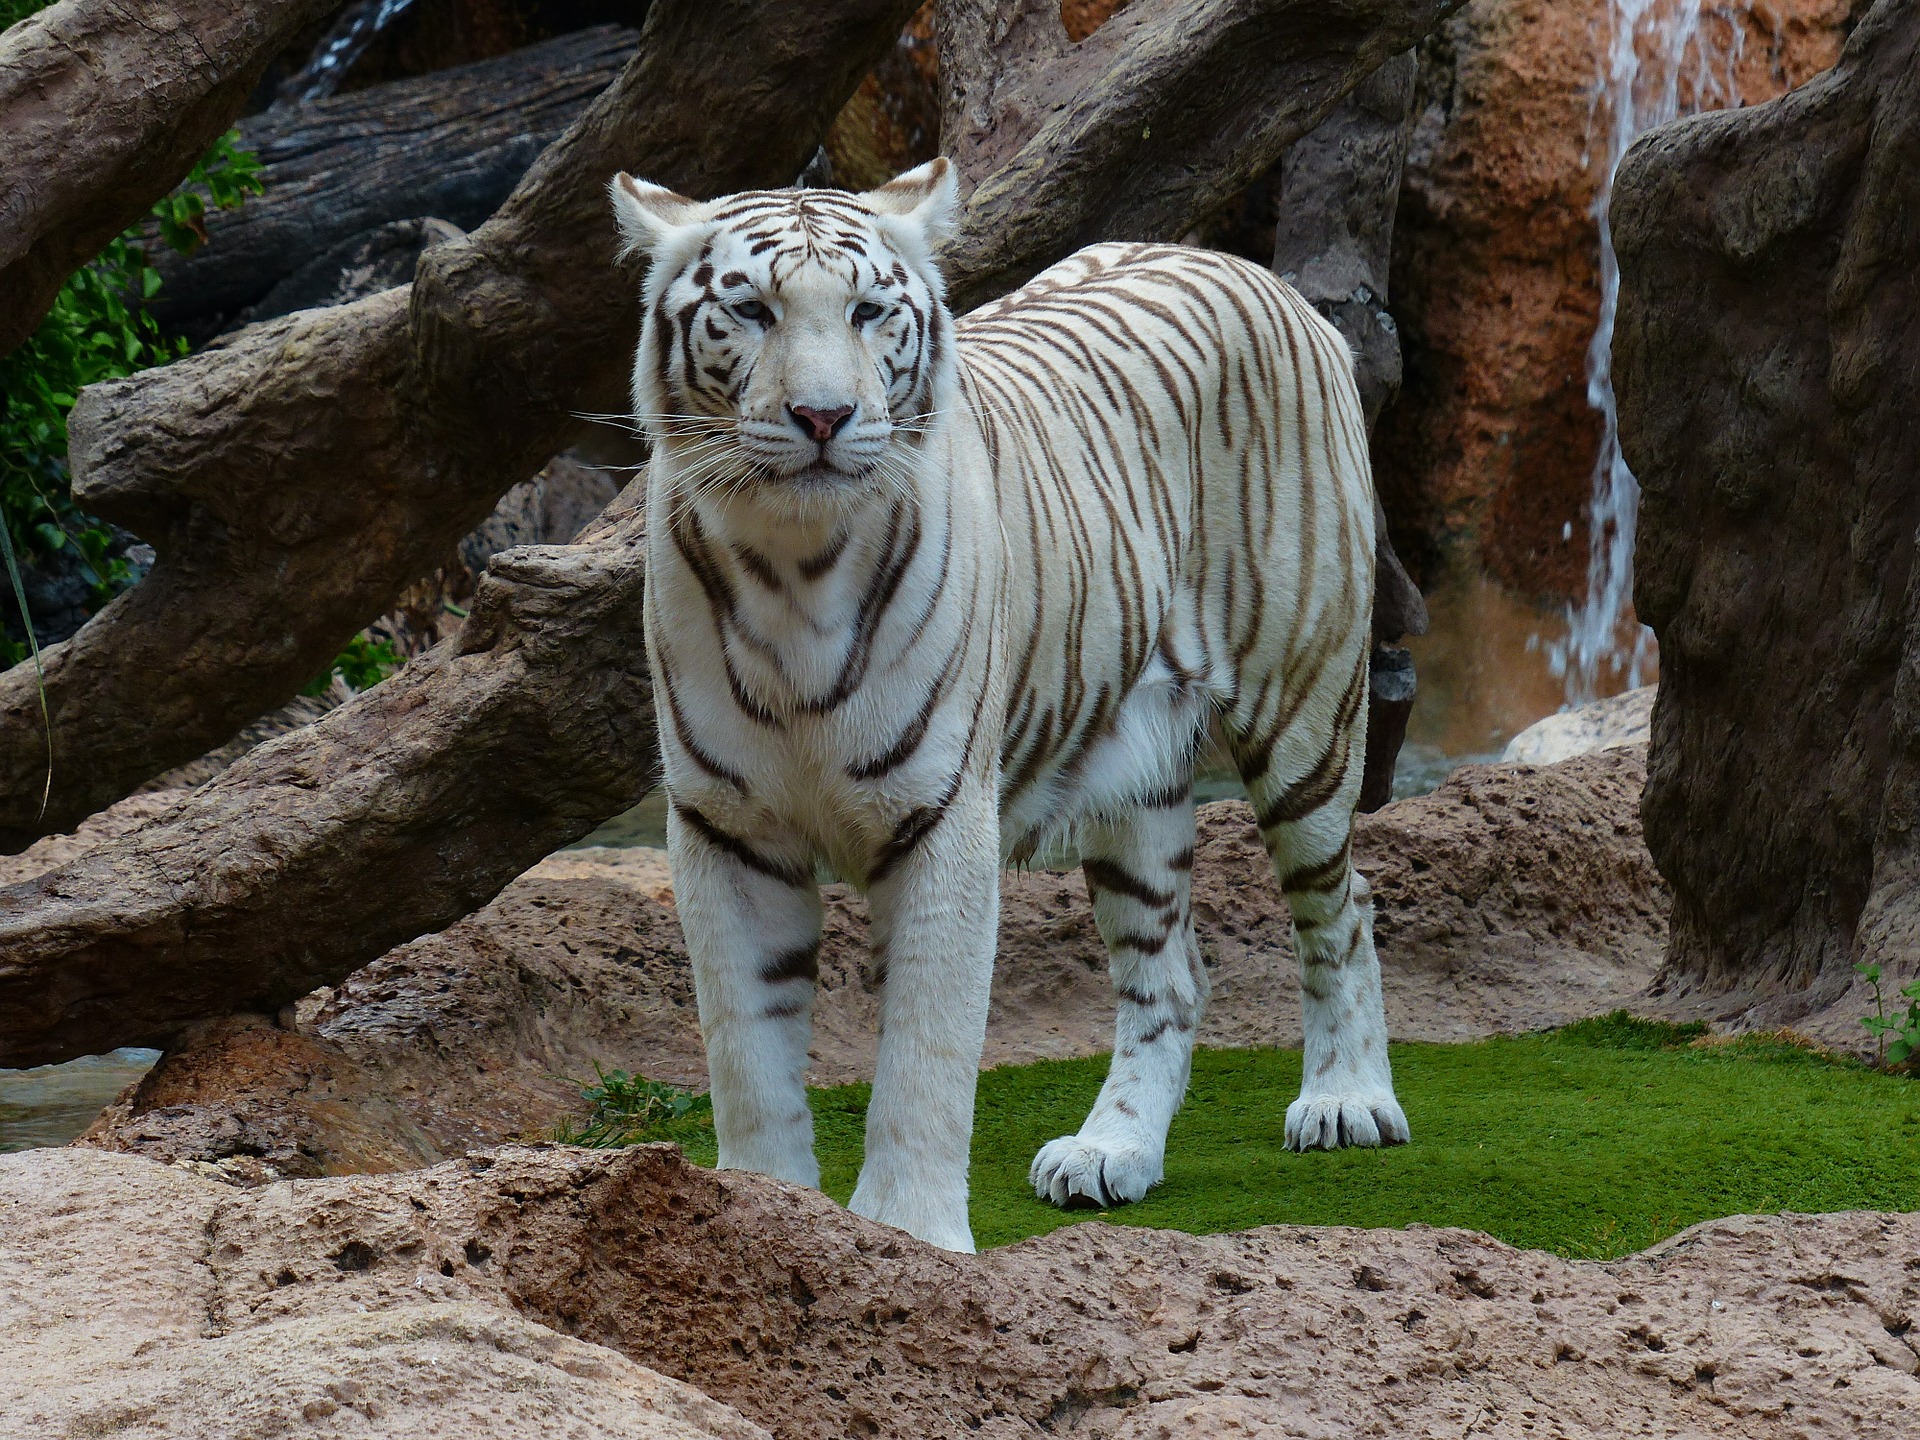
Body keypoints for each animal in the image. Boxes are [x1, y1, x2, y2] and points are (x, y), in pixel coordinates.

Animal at [610, 157, 1407, 1254]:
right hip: (1133, 779)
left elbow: (925, 1053)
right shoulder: (725, 827)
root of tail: (1253, 271)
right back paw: (1113, 1150)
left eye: (866, 312)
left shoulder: (943, 812)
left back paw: (1346, 1100)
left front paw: (911, 1238)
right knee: (1170, 974)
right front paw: (762, 1216)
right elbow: (747, 1050)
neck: (794, 564)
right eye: (752, 310)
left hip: (1305, 710)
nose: (823, 417)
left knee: (1344, 905)